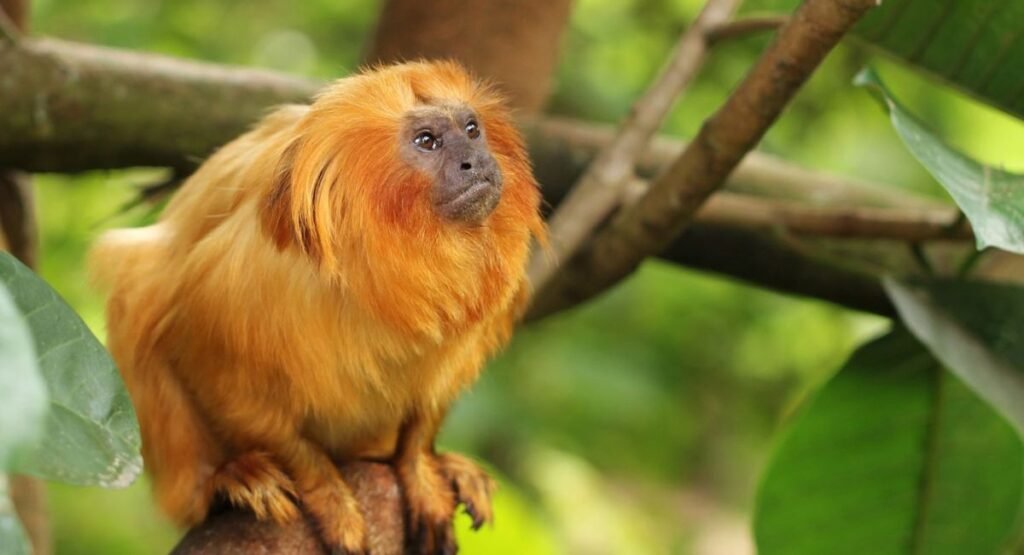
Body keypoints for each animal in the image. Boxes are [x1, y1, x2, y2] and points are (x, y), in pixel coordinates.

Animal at [90, 60, 546, 554]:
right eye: (427, 141)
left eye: (472, 130)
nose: (475, 161)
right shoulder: (247, 281)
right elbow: (220, 378)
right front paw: (328, 495)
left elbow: (429, 404)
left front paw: (422, 470)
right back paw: (223, 480)